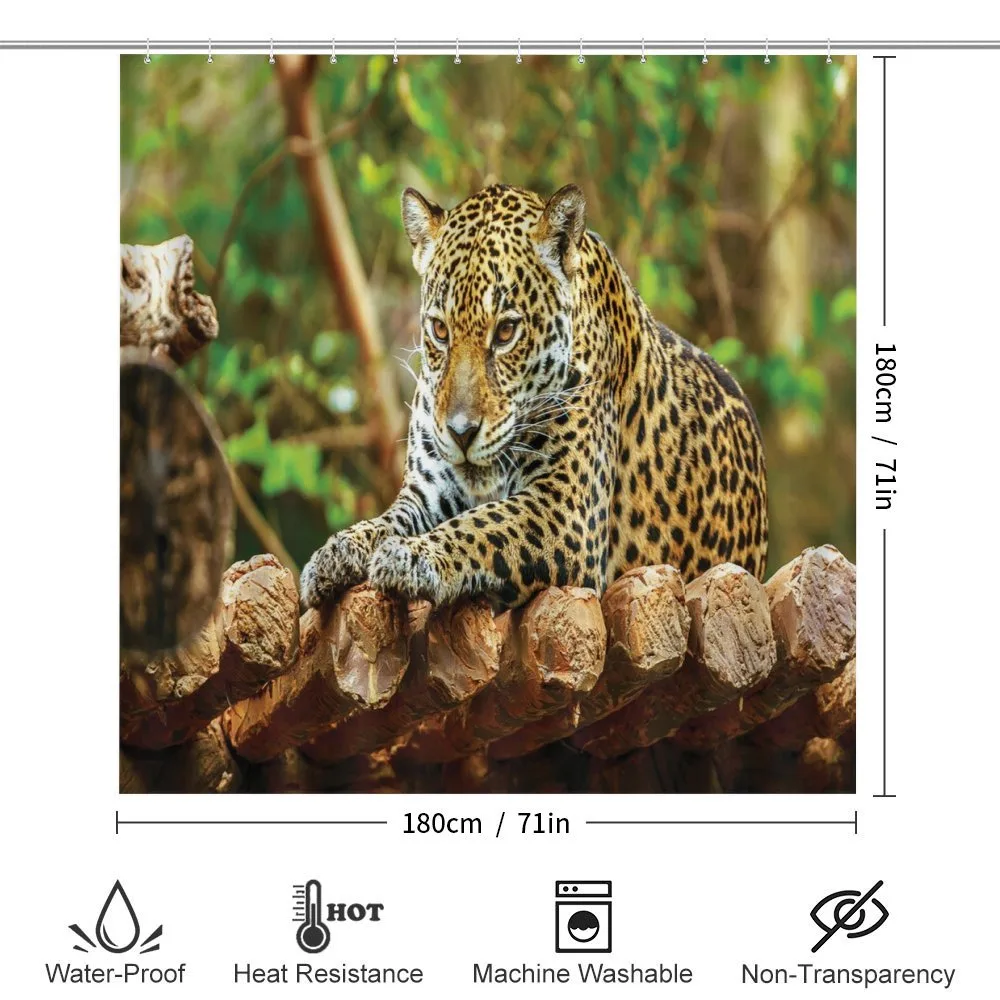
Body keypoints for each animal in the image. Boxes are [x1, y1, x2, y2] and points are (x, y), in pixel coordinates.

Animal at [300, 183, 768, 611]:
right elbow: (387, 521)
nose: (461, 432)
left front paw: (412, 556)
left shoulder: (565, 510)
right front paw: (335, 553)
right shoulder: (427, 492)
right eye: (439, 330)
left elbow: (482, 525)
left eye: (506, 331)